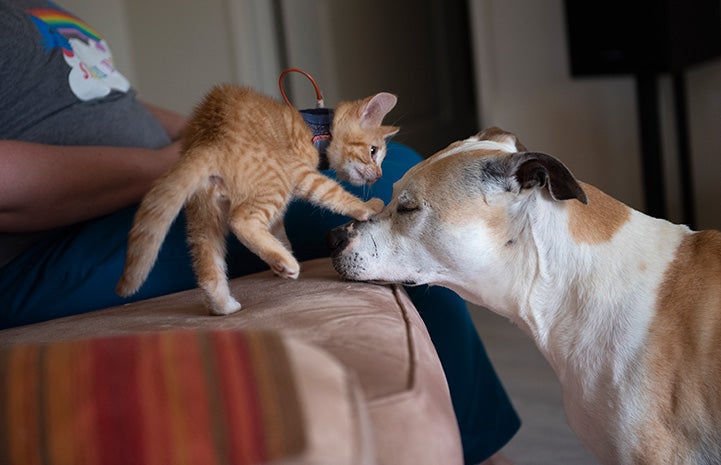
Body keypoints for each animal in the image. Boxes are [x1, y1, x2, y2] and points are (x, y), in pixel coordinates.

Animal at [115, 84, 396, 316]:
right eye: (373, 151)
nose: (380, 174)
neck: (315, 128)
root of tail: (211, 139)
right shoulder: (299, 173)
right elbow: (330, 192)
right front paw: (366, 207)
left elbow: (278, 228)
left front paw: (281, 249)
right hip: (275, 181)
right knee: (242, 221)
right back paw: (285, 263)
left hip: (203, 214)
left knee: (207, 263)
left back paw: (224, 304)